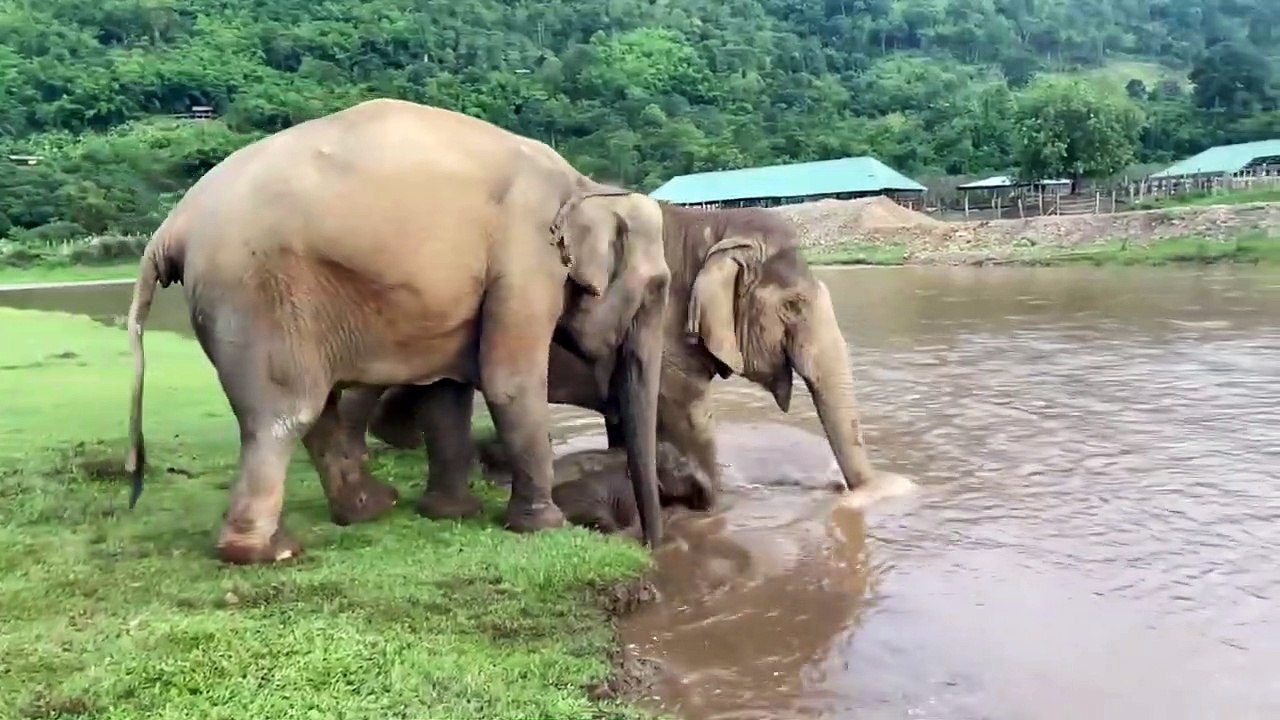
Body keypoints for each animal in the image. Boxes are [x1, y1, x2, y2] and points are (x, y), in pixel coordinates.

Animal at [122, 98, 670, 564]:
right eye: (657, 290)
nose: (649, 544)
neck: (584, 184)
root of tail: (172, 226)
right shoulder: (525, 260)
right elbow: (508, 383)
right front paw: (543, 527)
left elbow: (447, 391)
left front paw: (451, 514)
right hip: (255, 294)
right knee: (285, 413)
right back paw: (269, 551)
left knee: (314, 409)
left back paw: (368, 508)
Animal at [340, 201, 905, 513]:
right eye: (793, 306)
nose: (858, 493)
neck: (708, 227)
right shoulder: (666, 335)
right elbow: (686, 421)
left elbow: (627, 420)